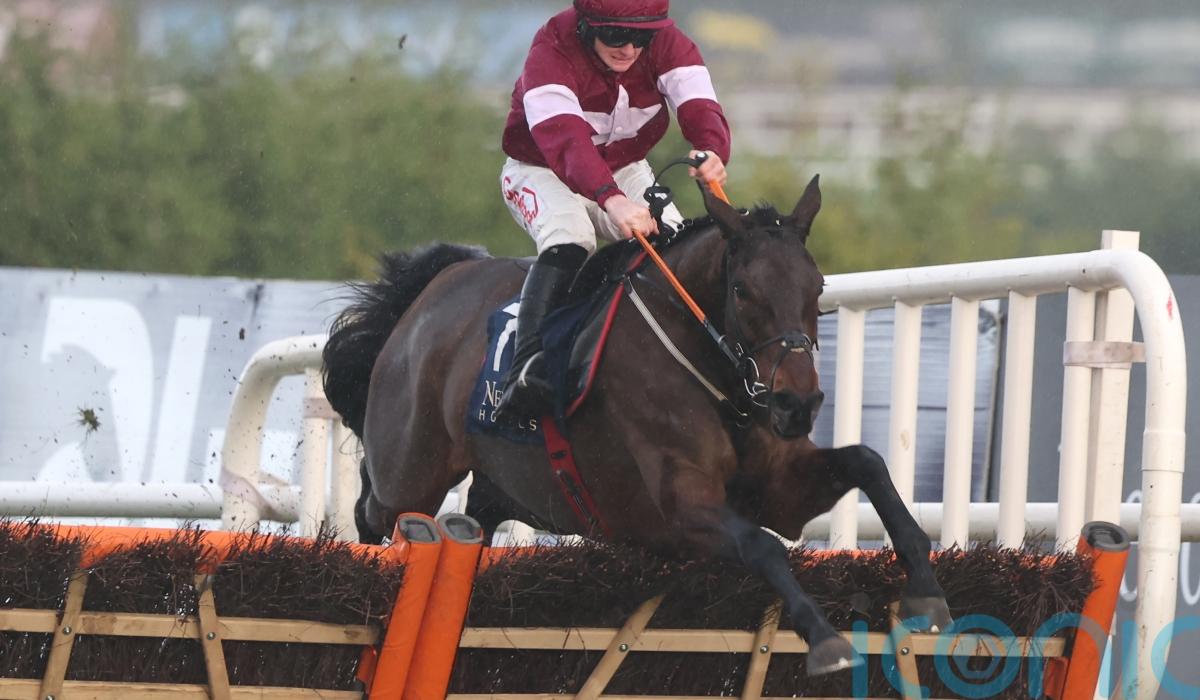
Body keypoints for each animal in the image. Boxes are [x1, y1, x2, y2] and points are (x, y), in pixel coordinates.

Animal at [321, 176, 952, 675]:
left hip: (501, 485)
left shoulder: (780, 490)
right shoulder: (676, 510)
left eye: (816, 288)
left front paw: (926, 592)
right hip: (411, 471)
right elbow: (762, 546)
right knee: (373, 511)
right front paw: (824, 638)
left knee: (473, 517)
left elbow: (867, 463)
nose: (798, 403)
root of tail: (432, 288)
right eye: (743, 289)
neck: (714, 372)